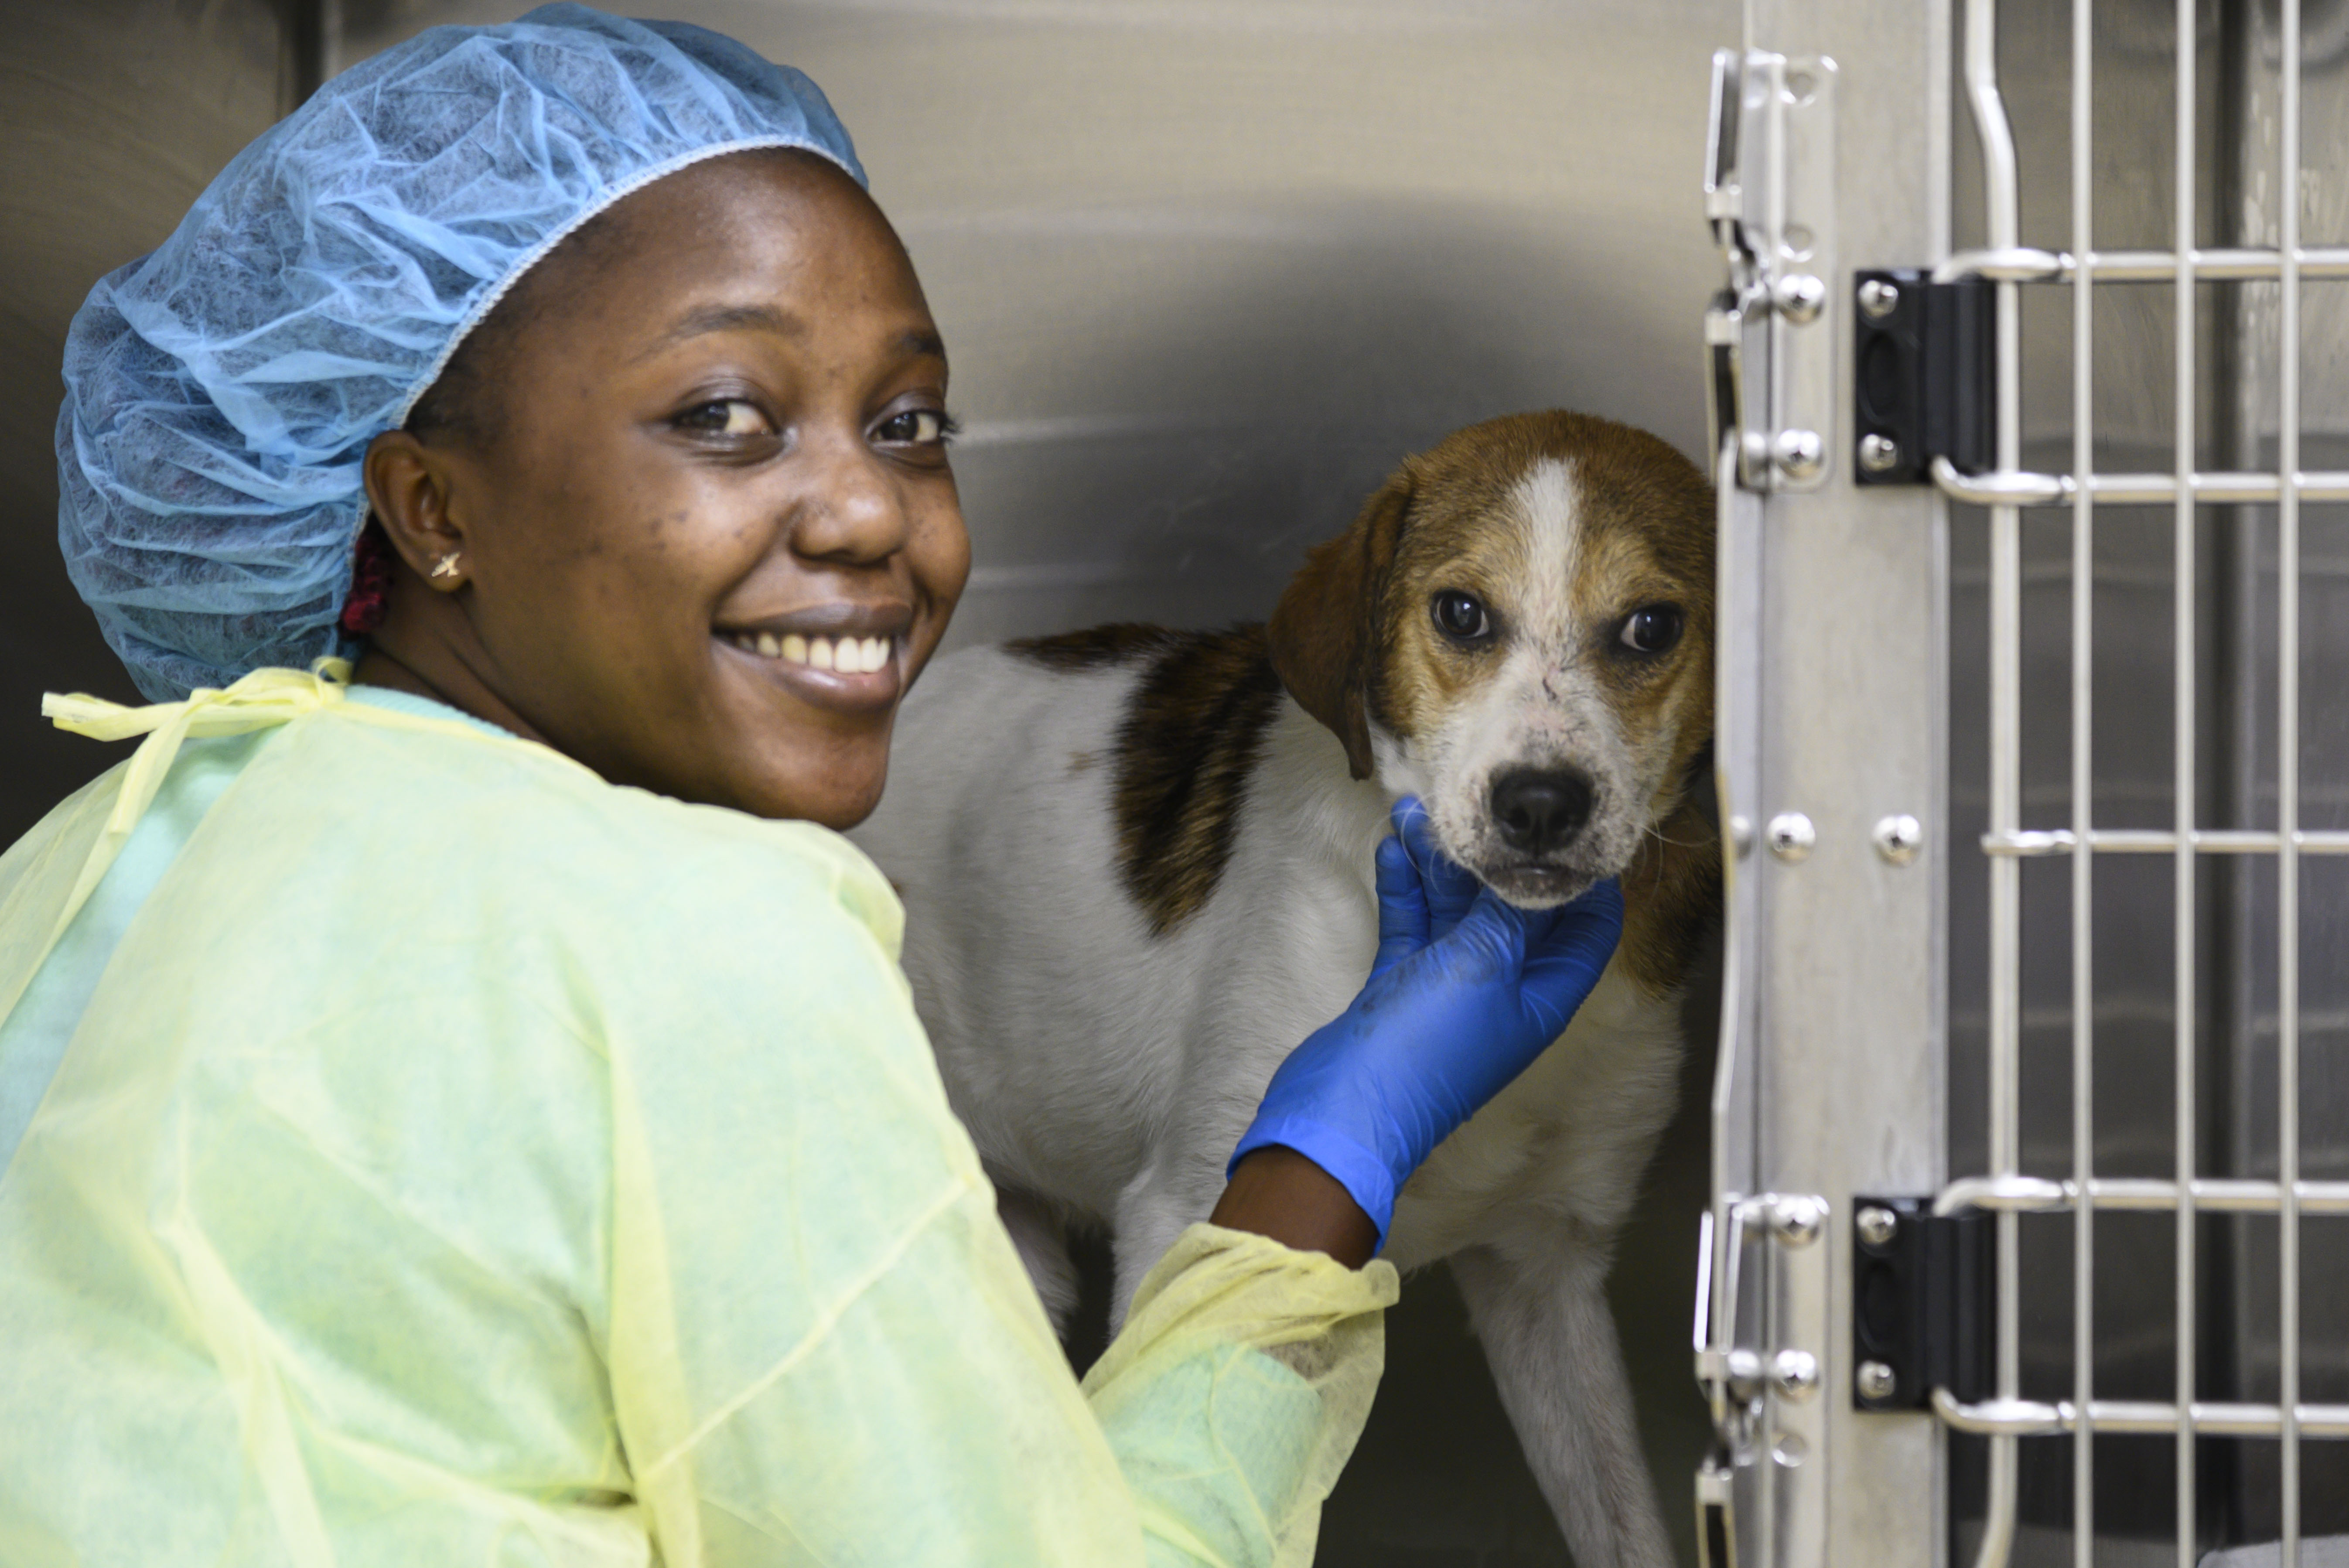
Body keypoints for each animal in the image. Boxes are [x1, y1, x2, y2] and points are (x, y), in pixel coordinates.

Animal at [855, 411, 1719, 1561]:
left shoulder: (1547, 1270)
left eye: (1651, 627)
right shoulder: (1191, 1218)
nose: (1540, 803)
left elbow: (1622, 1522)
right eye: (1460, 612)